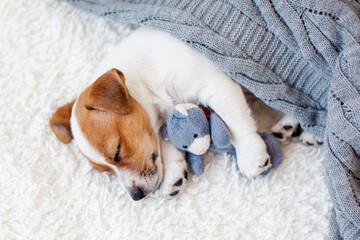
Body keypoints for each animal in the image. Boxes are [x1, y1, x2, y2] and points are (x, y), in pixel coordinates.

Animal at [50, 27, 272, 201]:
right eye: (105, 170)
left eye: (117, 151)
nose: (136, 196)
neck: (147, 82)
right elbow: (167, 144)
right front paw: (173, 173)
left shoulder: (217, 86)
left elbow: (237, 123)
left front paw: (250, 154)